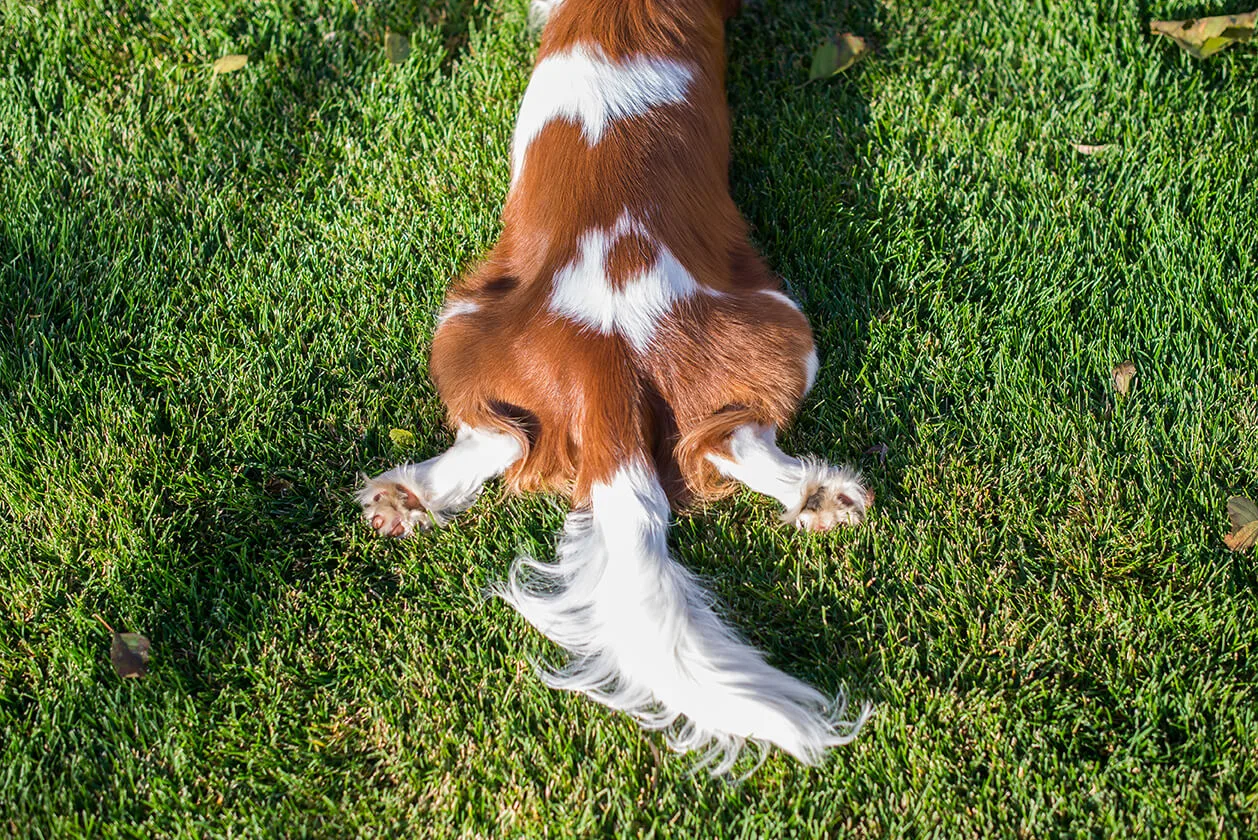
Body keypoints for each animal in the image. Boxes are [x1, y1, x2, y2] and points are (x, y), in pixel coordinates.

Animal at [354, 0, 870, 774]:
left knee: (510, 440)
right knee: (708, 441)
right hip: (775, 327)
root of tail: (608, 355)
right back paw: (818, 497)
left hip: (462, 322)